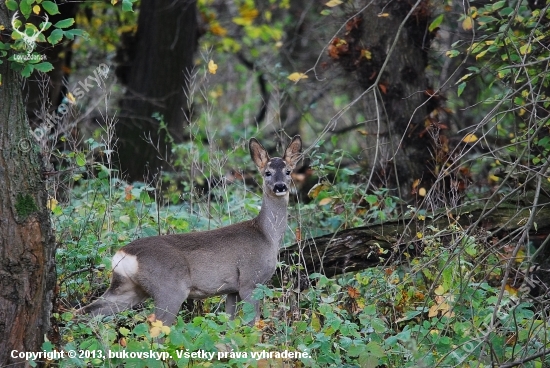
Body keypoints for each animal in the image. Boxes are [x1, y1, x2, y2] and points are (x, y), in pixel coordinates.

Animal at [77, 135, 304, 324]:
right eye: (267, 173)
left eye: (288, 171)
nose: (280, 186)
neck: (267, 236)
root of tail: (122, 254)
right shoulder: (250, 281)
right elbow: (251, 324)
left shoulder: (232, 289)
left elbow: (230, 325)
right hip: (170, 288)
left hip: (127, 288)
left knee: (86, 311)